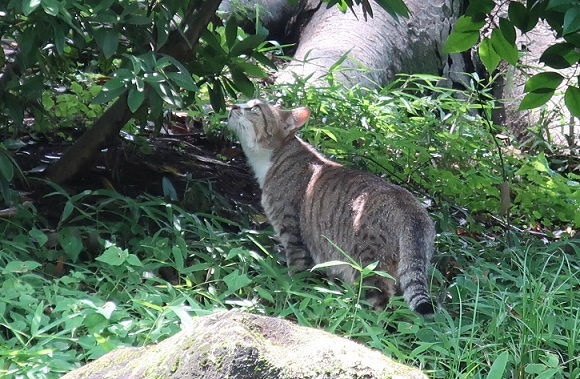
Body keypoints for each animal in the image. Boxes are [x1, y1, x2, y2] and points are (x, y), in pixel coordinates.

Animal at [227, 99, 436, 316]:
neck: (274, 158)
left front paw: (291, 297)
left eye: (254, 108)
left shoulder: (292, 234)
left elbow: (296, 275)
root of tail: (410, 207)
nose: (232, 105)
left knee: (381, 307)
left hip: (368, 265)